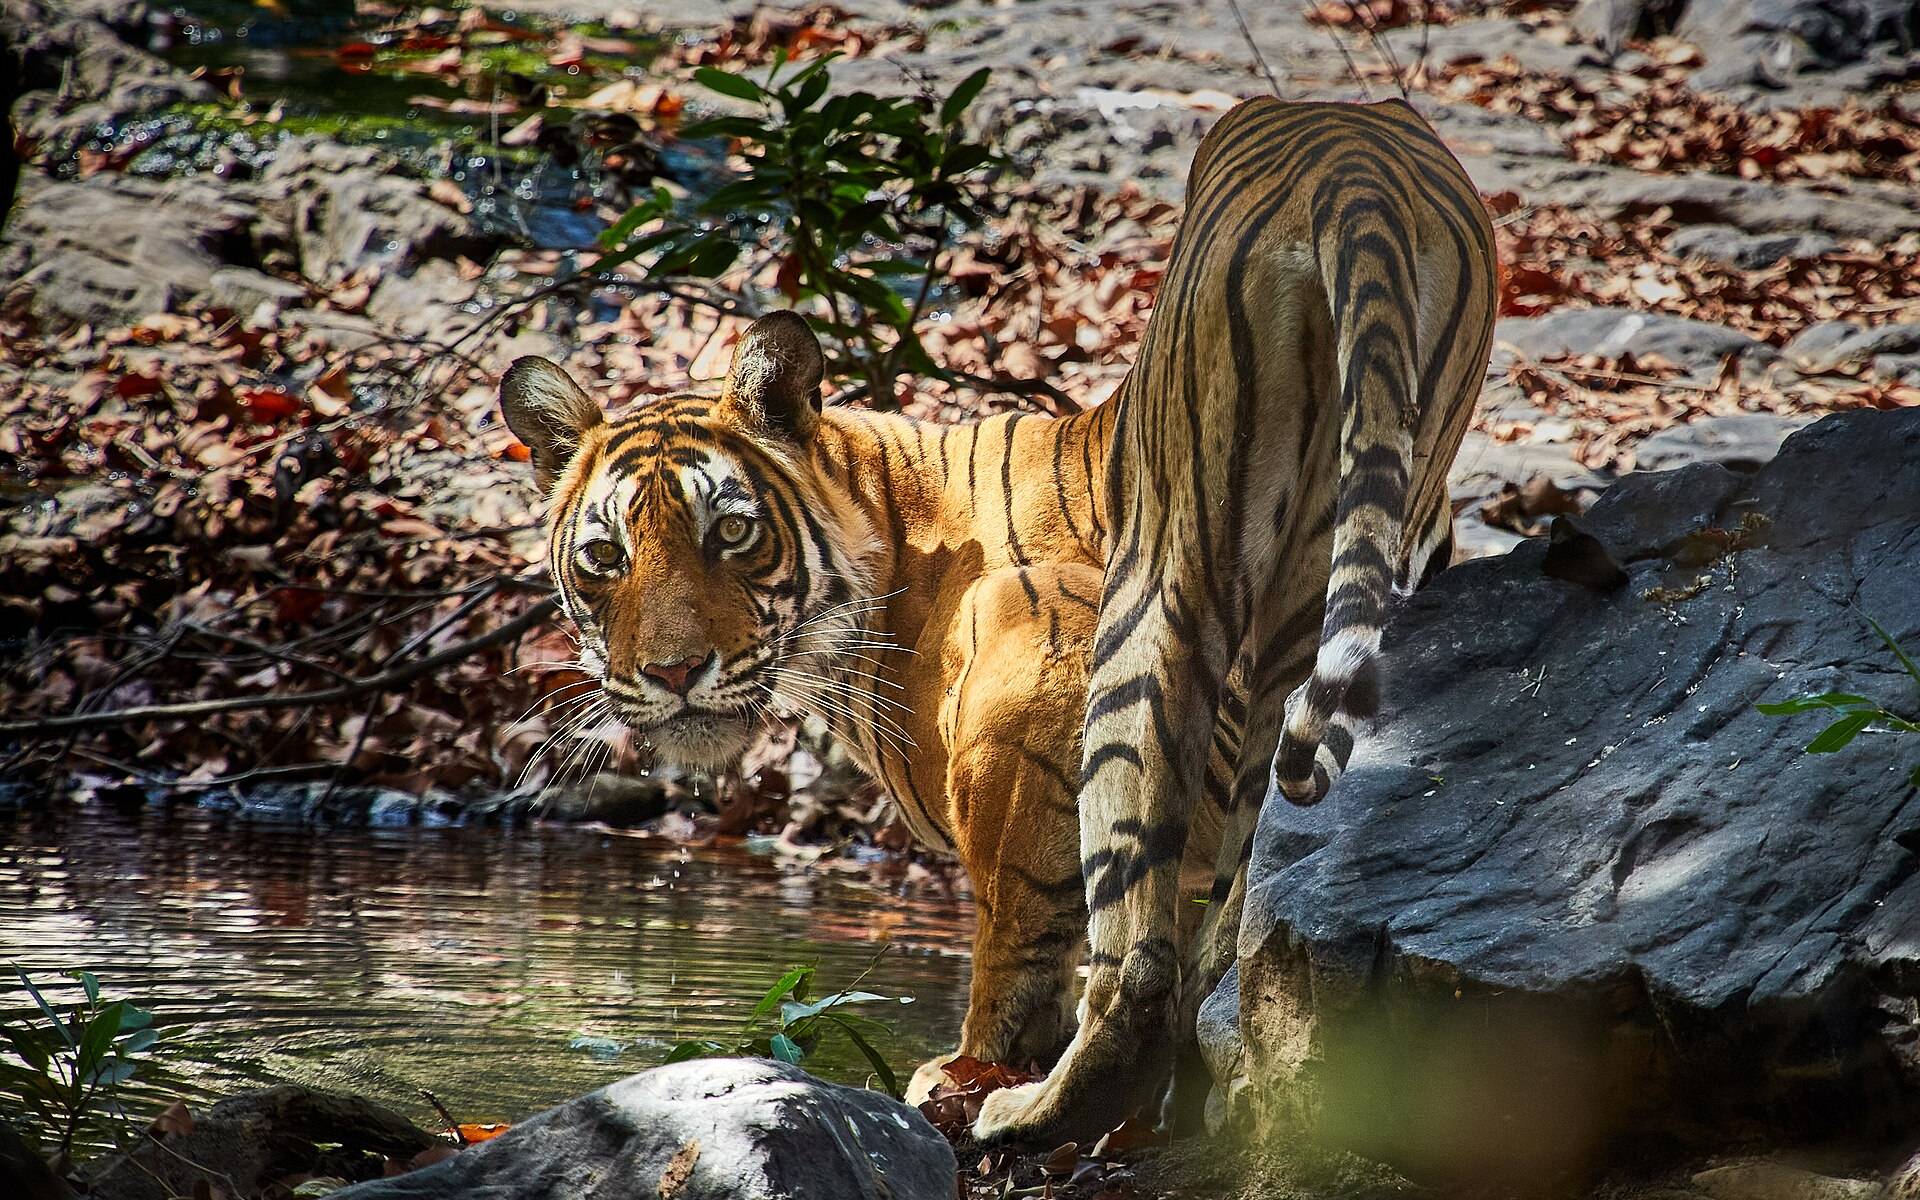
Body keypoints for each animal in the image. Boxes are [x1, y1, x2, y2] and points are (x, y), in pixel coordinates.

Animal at [499, 95, 1496, 1145]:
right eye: (605, 557)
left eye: (730, 531)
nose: (673, 672)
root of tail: (1350, 152)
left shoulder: (1031, 657)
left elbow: (1018, 926)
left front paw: (968, 1069)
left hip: (1159, 584)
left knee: (1137, 957)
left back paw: (1037, 1106)